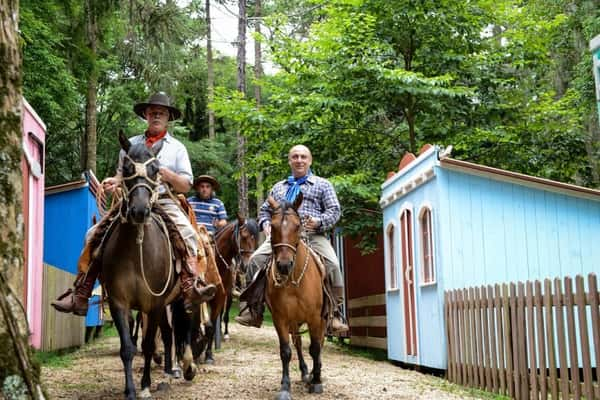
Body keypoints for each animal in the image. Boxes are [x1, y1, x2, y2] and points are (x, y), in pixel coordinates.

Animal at [102, 132, 205, 400]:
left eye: (156, 169)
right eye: (127, 168)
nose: (139, 210)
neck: (136, 252)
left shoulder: (155, 303)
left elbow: (148, 344)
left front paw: (146, 385)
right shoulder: (119, 302)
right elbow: (128, 347)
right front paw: (130, 390)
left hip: (178, 297)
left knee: (183, 327)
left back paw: (186, 367)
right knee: (169, 333)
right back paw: (171, 369)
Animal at [264, 192, 326, 398]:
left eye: (298, 226)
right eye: (273, 226)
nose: (284, 265)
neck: (293, 282)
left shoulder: (315, 317)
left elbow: (315, 347)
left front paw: (316, 382)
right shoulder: (280, 318)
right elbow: (286, 351)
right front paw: (285, 386)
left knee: (319, 343)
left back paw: (314, 373)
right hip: (294, 321)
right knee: (297, 343)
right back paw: (306, 371)